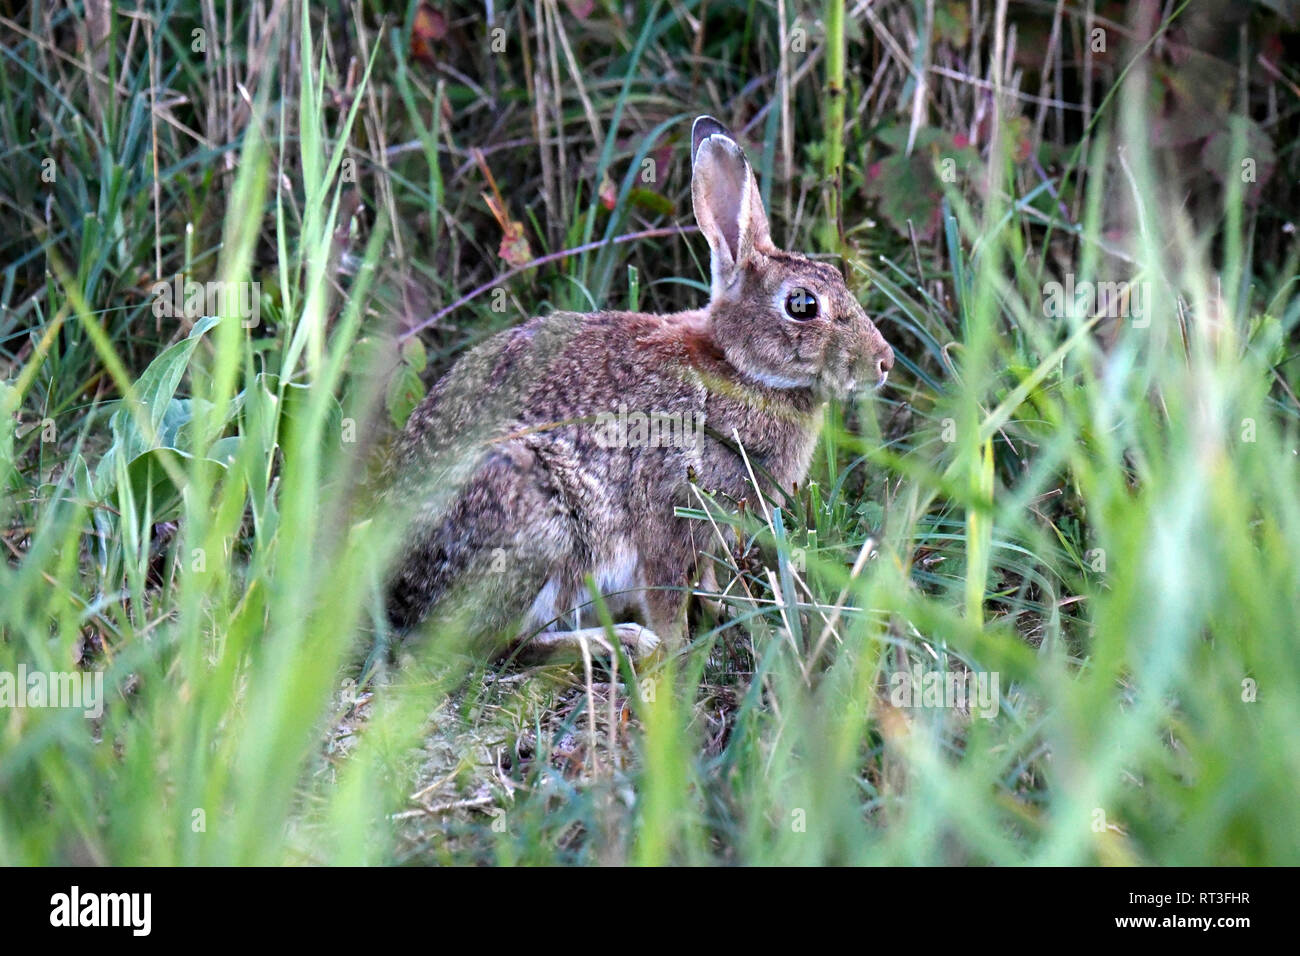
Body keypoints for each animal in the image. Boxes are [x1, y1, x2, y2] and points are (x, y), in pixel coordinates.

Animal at [382, 115, 895, 660]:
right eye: (802, 305)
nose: (884, 361)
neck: (736, 369)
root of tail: (405, 591)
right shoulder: (666, 514)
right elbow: (666, 594)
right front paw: (676, 652)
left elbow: (707, 578)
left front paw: (730, 610)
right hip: (540, 525)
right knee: (508, 641)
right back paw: (620, 640)